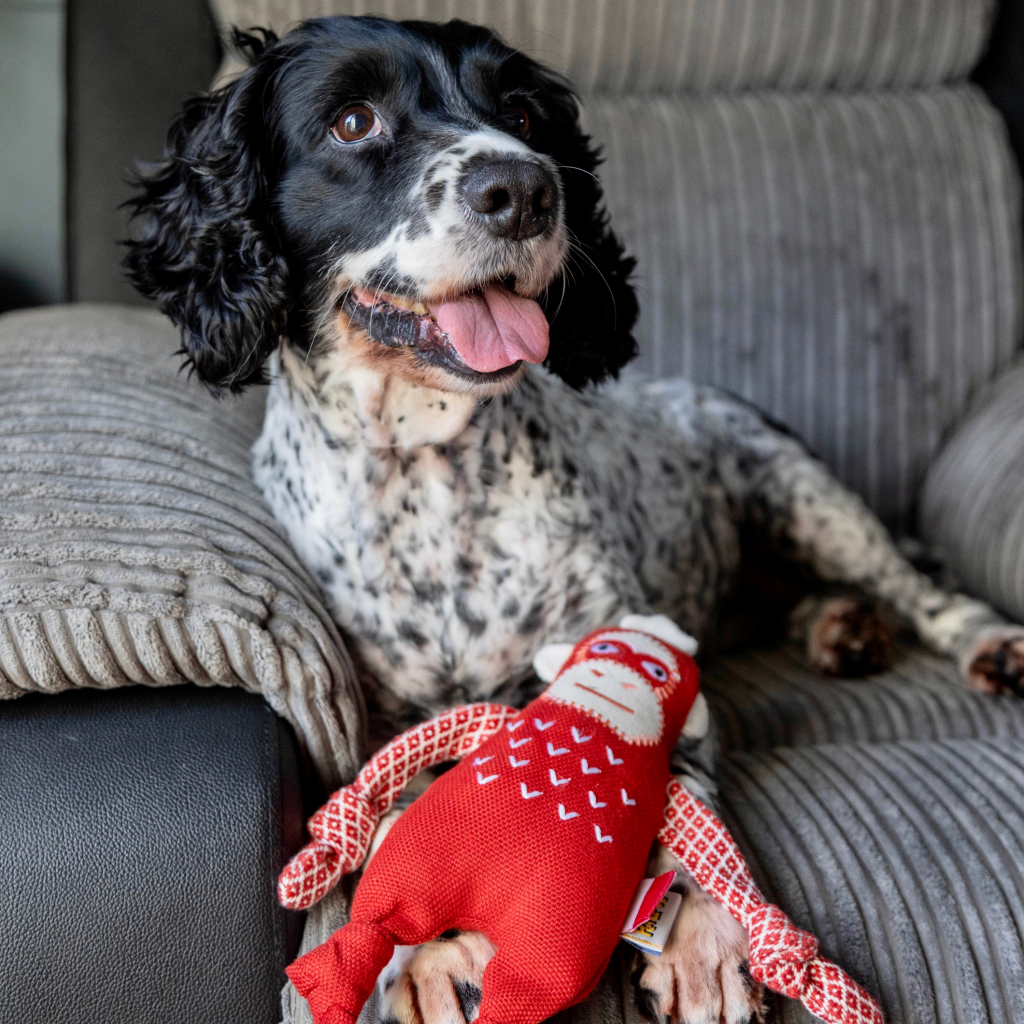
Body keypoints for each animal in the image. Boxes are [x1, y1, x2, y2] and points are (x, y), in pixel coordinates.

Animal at [125, 16, 1024, 1024]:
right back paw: (841, 628)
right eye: (353, 120)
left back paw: (969, 637)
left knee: (918, 586)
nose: (524, 190)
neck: (429, 479)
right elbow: (398, 807)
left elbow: (676, 787)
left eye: (521, 113)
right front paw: (426, 956)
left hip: (800, 490)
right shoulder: (379, 718)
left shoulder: (636, 646)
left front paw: (700, 941)